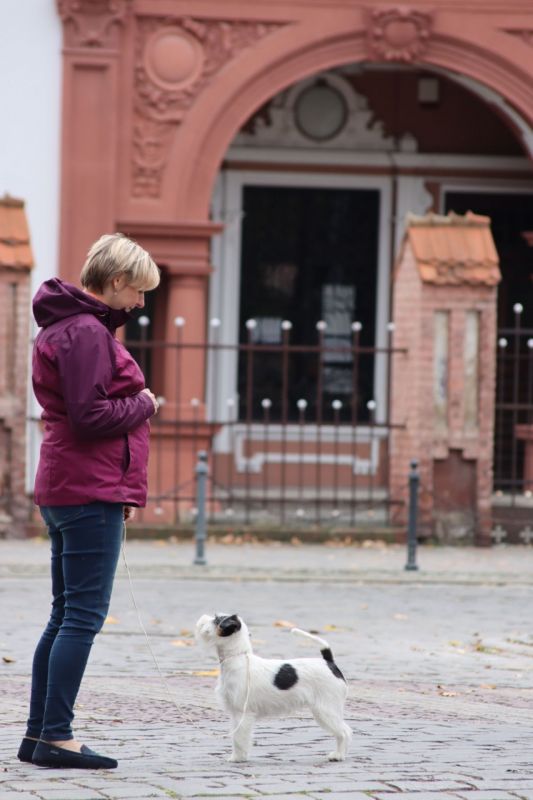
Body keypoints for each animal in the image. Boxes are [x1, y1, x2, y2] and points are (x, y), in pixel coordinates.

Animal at [195, 613, 352, 762]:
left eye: (217, 620)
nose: (201, 620)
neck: (238, 657)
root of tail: (329, 662)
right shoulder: (235, 714)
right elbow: (238, 737)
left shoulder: (242, 714)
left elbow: (239, 738)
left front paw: (237, 758)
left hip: (326, 710)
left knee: (344, 732)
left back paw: (338, 756)